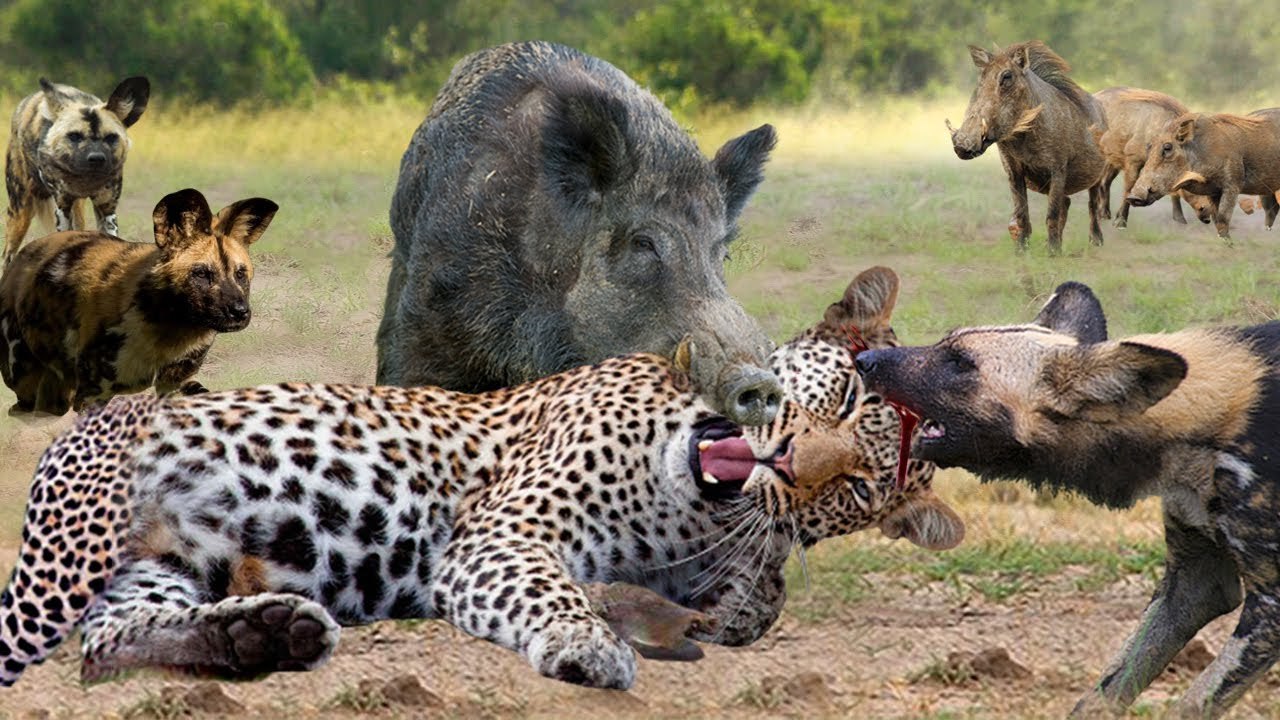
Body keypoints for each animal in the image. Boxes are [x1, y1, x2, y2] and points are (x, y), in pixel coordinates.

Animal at [0, 266, 963, 691]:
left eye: (857, 488)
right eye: (842, 394)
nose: (790, 463)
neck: (692, 514)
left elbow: (753, 601)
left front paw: (709, 607)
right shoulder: (504, 534)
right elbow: (549, 590)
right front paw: (588, 641)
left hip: (156, 569)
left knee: (105, 643)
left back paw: (260, 635)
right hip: (67, 557)